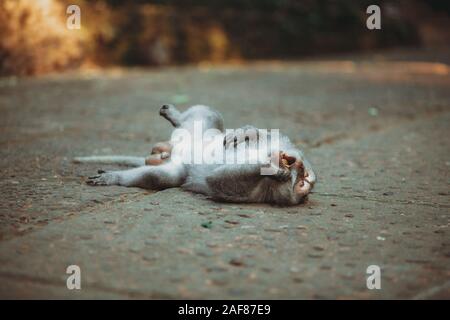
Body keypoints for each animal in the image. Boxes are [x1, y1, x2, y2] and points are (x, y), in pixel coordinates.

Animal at [73, 104, 316, 206]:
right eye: (304, 174)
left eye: (302, 182)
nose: (296, 167)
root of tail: (175, 149)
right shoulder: (280, 141)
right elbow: (260, 133)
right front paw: (246, 134)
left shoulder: (257, 193)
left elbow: (218, 181)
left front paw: (274, 169)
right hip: (199, 129)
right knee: (210, 114)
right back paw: (174, 114)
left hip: (177, 168)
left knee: (160, 177)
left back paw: (116, 177)